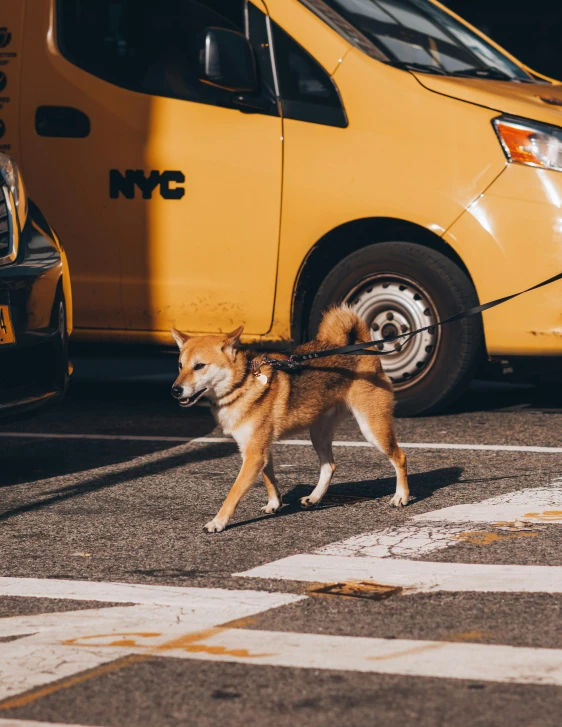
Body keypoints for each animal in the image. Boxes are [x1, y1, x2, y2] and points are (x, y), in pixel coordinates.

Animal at [171, 304, 406, 532]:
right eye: (180, 365)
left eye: (200, 366)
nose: (175, 390)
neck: (242, 383)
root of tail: (363, 348)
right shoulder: (259, 449)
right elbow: (269, 479)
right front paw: (274, 503)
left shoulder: (254, 454)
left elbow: (233, 494)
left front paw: (218, 522)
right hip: (318, 433)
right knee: (329, 466)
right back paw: (314, 498)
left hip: (372, 428)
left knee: (400, 457)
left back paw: (401, 496)